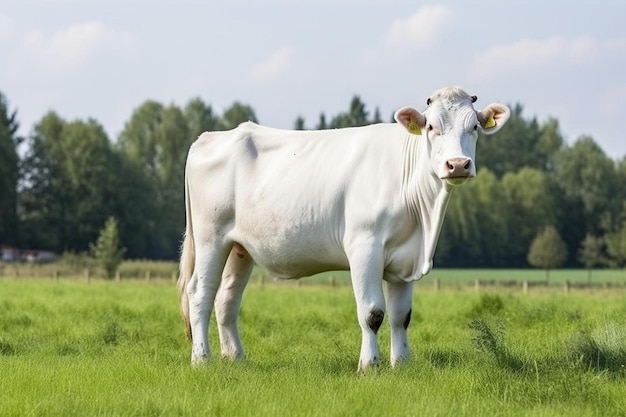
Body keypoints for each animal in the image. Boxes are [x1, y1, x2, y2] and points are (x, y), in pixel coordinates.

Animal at [177, 86, 508, 372]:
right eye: (431, 128)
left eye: (474, 128)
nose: (458, 164)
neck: (423, 221)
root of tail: (209, 137)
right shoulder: (364, 246)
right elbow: (372, 312)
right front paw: (369, 366)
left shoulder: (405, 256)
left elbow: (401, 316)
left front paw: (401, 364)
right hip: (210, 238)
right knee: (200, 294)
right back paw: (201, 360)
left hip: (240, 247)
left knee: (226, 299)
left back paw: (236, 359)